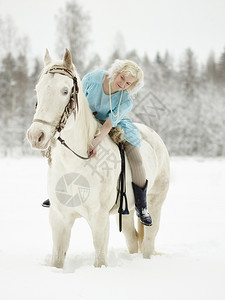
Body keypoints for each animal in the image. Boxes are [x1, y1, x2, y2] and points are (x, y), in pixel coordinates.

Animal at [26, 49, 169, 270]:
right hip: (125, 214)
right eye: (38, 89)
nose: (36, 136)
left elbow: (100, 259)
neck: (75, 162)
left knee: (148, 241)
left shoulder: (99, 219)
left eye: (65, 91)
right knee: (132, 240)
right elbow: (57, 259)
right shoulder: (59, 219)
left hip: (155, 203)